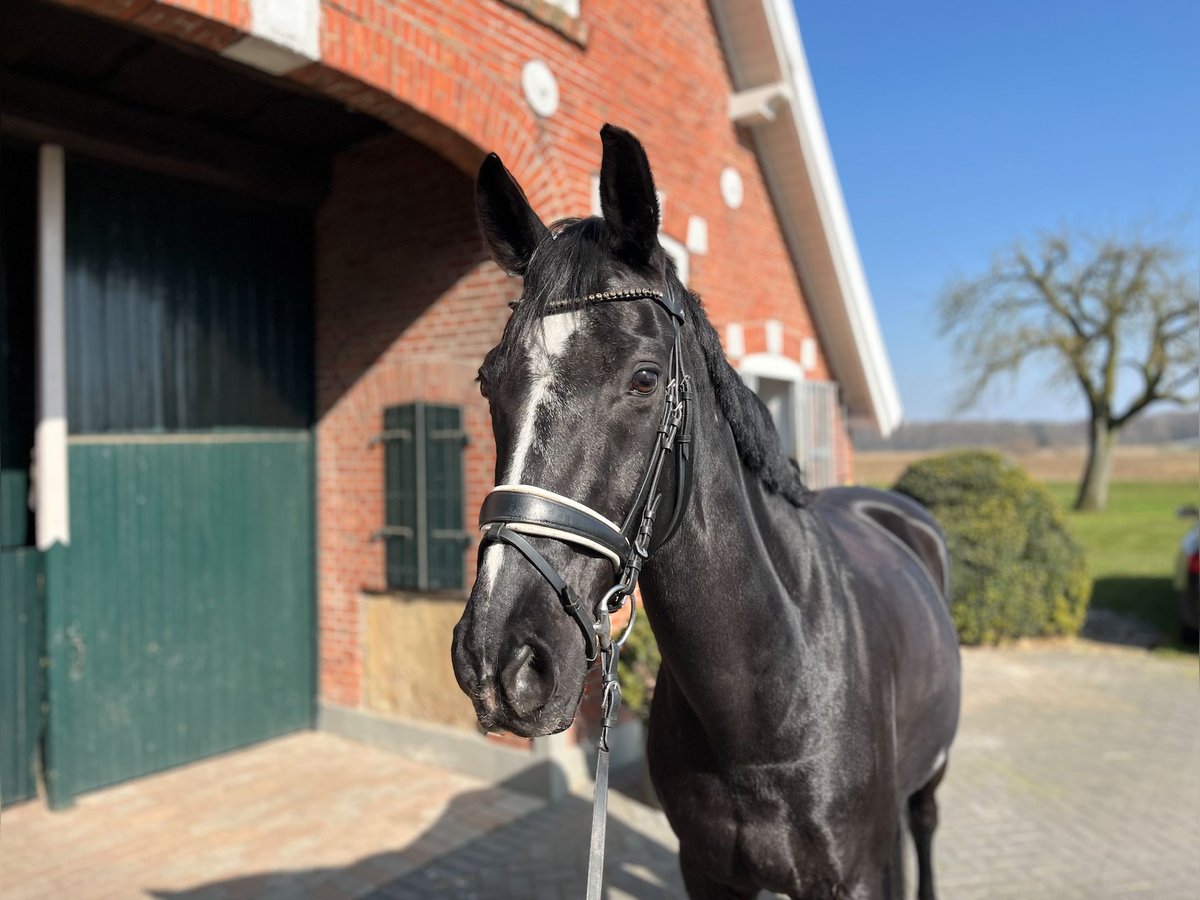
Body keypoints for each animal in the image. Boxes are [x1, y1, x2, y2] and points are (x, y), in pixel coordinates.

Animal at [453, 127, 960, 900]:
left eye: (644, 378)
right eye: (489, 381)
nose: (499, 659)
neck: (764, 703)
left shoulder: (854, 878)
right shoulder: (707, 870)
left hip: (931, 776)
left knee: (925, 826)